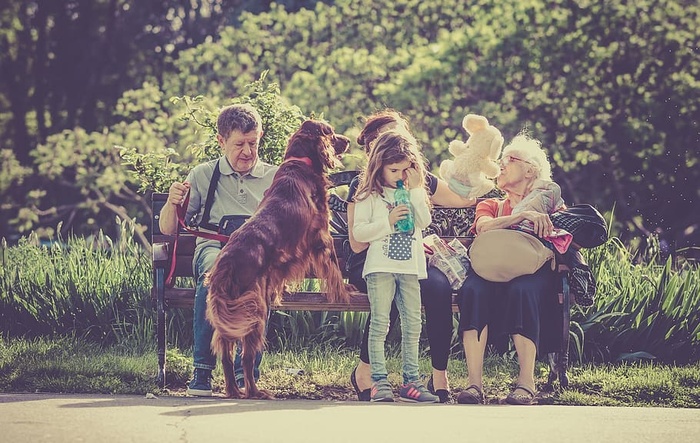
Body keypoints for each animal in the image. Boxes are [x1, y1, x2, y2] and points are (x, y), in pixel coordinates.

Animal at [205, 119, 352, 400]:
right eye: (330, 131)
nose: (349, 140)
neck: (300, 162)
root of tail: (226, 264)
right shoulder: (321, 235)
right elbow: (334, 267)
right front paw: (344, 292)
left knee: (227, 355)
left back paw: (233, 390)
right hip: (255, 310)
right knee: (247, 356)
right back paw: (255, 392)